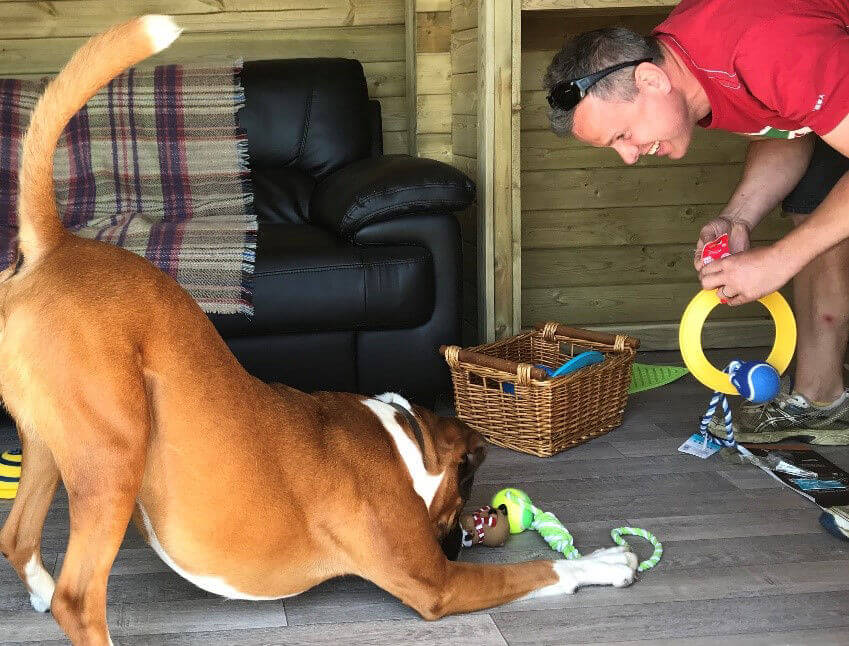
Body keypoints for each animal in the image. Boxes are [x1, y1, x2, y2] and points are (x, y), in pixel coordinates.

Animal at [0, 17, 636, 644]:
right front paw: (604, 563)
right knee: (79, 598)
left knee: (18, 536)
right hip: (113, 456)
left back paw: (37, 592)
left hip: (49, 448)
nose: (460, 541)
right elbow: (542, 569)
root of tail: (55, 244)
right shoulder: (438, 584)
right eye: (466, 491)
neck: (401, 438)